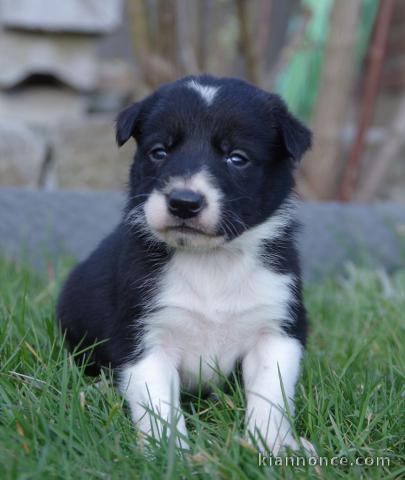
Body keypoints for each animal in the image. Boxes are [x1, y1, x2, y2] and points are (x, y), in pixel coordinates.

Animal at [56, 75, 310, 454]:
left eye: (237, 157)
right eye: (159, 152)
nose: (184, 202)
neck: (210, 261)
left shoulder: (277, 327)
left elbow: (271, 396)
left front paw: (272, 446)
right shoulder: (144, 335)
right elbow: (158, 404)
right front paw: (171, 453)